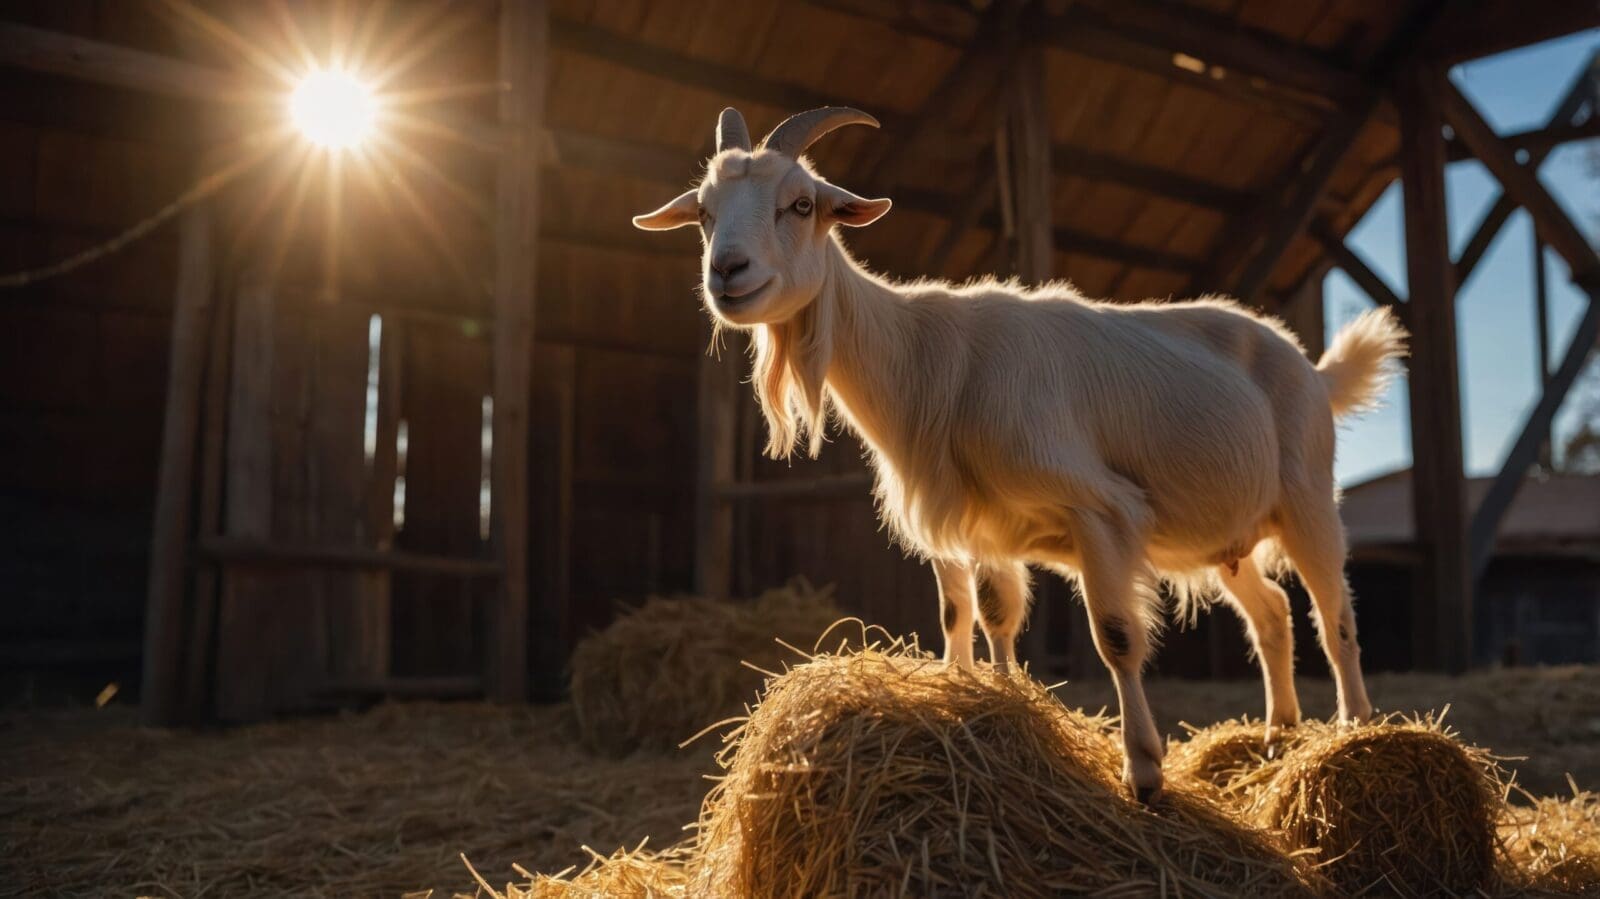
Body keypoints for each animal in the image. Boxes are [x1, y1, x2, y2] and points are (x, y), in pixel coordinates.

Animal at [633, 106, 1407, 801]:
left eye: (800, 204)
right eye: (703, 213)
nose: (727, 273)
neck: (925, 360)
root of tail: (1312, 369)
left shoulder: (1099, 508)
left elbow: (1115, 636)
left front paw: (1144, 773)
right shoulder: (972, 524)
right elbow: (977, 616)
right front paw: (984, 698)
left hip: (1307, 498)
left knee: (1334, 613)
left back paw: (1353, 728)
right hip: (1225, 535)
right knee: (1272, 613)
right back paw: (1279, 733)